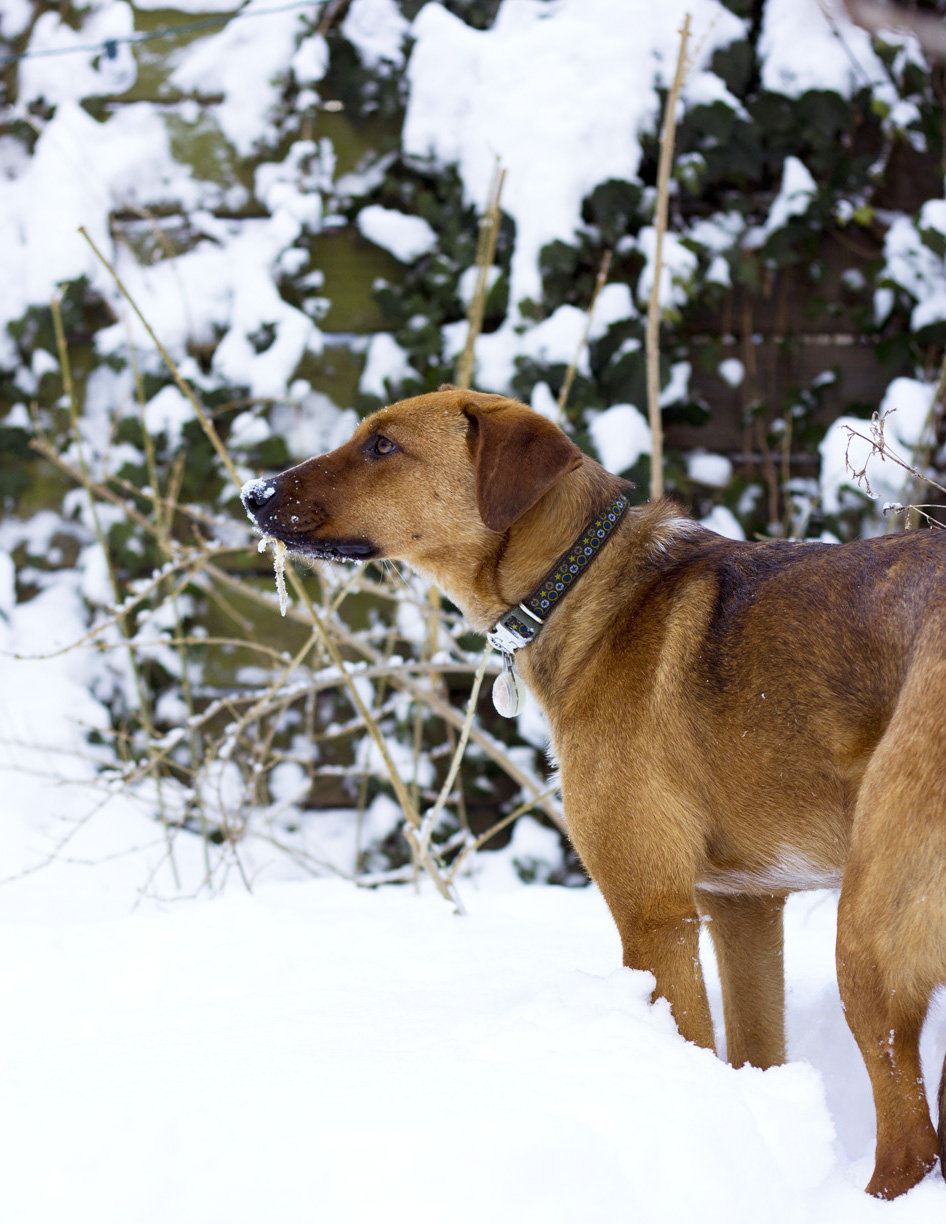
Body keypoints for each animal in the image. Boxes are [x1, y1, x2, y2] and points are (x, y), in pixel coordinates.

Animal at [242, 386, 944, 1199]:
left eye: (382, 446)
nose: (252, 495)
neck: (579, 582)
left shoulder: (654, 913)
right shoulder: (743, 905)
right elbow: (754, 1047)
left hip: (869, 929)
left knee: (912, 1142)